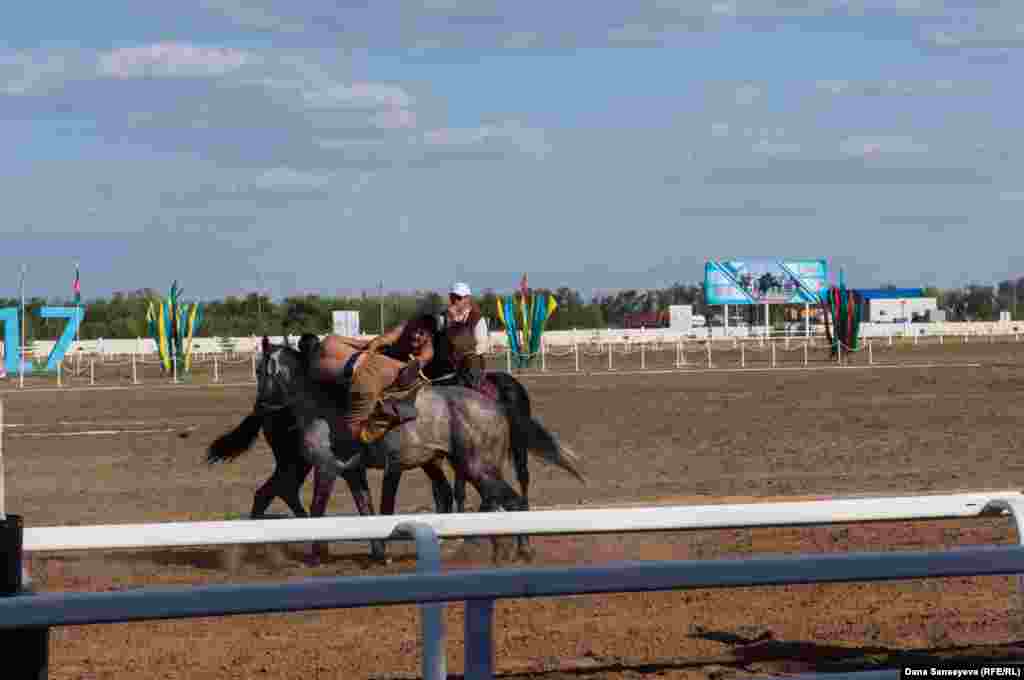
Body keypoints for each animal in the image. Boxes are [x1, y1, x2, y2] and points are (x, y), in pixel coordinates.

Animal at [207, 335, 585, 561]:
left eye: (262, 369)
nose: (261, 405)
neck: (321, 403)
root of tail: (497, 405)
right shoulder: (353, 471)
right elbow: (368, 508)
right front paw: (377, 550)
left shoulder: (329, 468)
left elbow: (322, 508)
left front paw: (319, 551)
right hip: (479, 467)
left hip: (479, 467)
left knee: (511, 499)